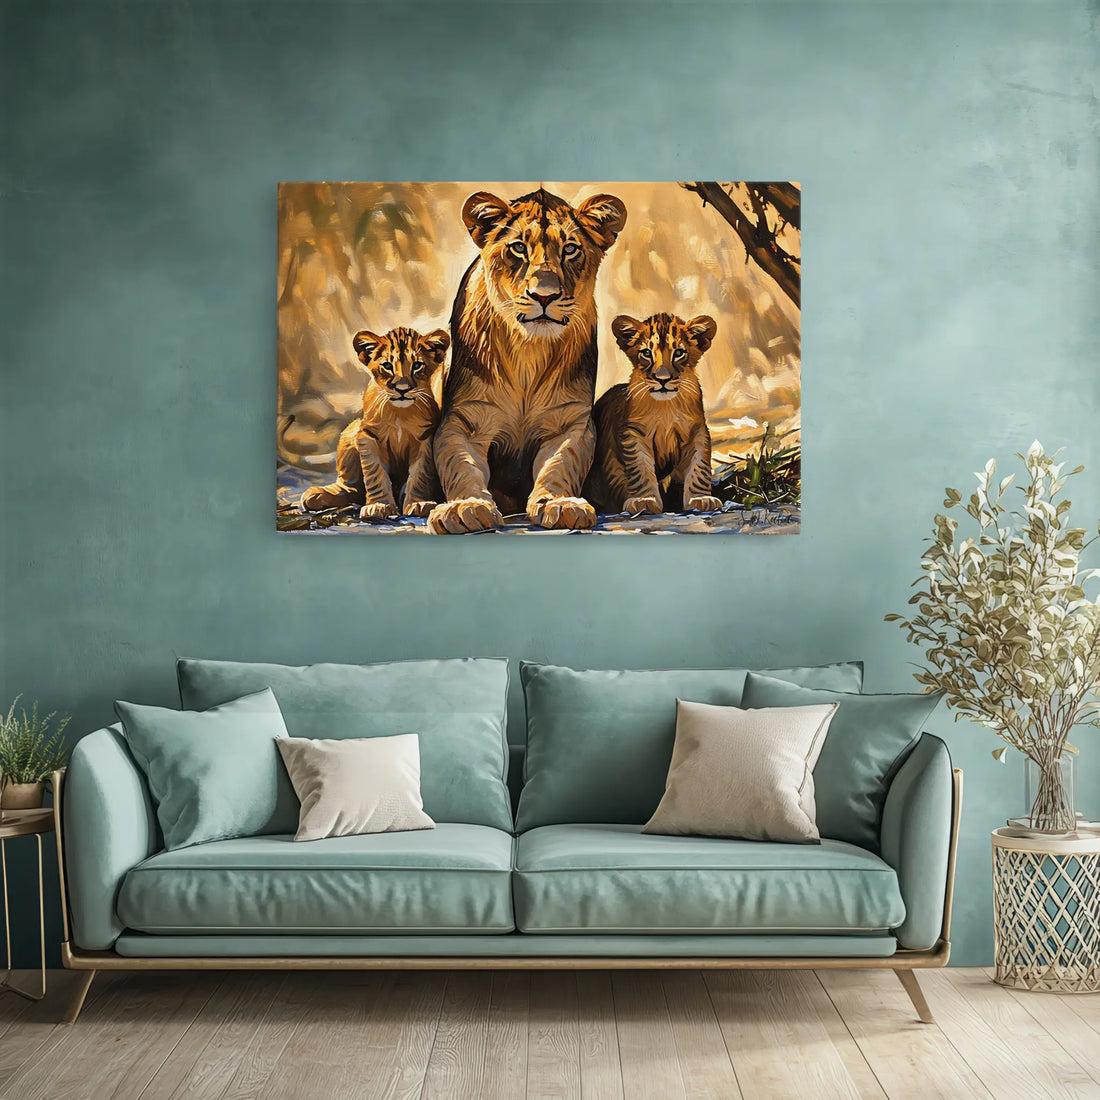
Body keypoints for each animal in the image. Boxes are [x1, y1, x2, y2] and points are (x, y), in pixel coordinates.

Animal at [428, 187, 627, 534]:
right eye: (519, 247)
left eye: (570, 249)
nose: (544, 295)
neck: (528, 350)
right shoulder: (463, 422)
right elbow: (461, 466)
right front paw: (466, 507)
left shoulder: (571, 422)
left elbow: (559, 466)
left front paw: (561, 504)